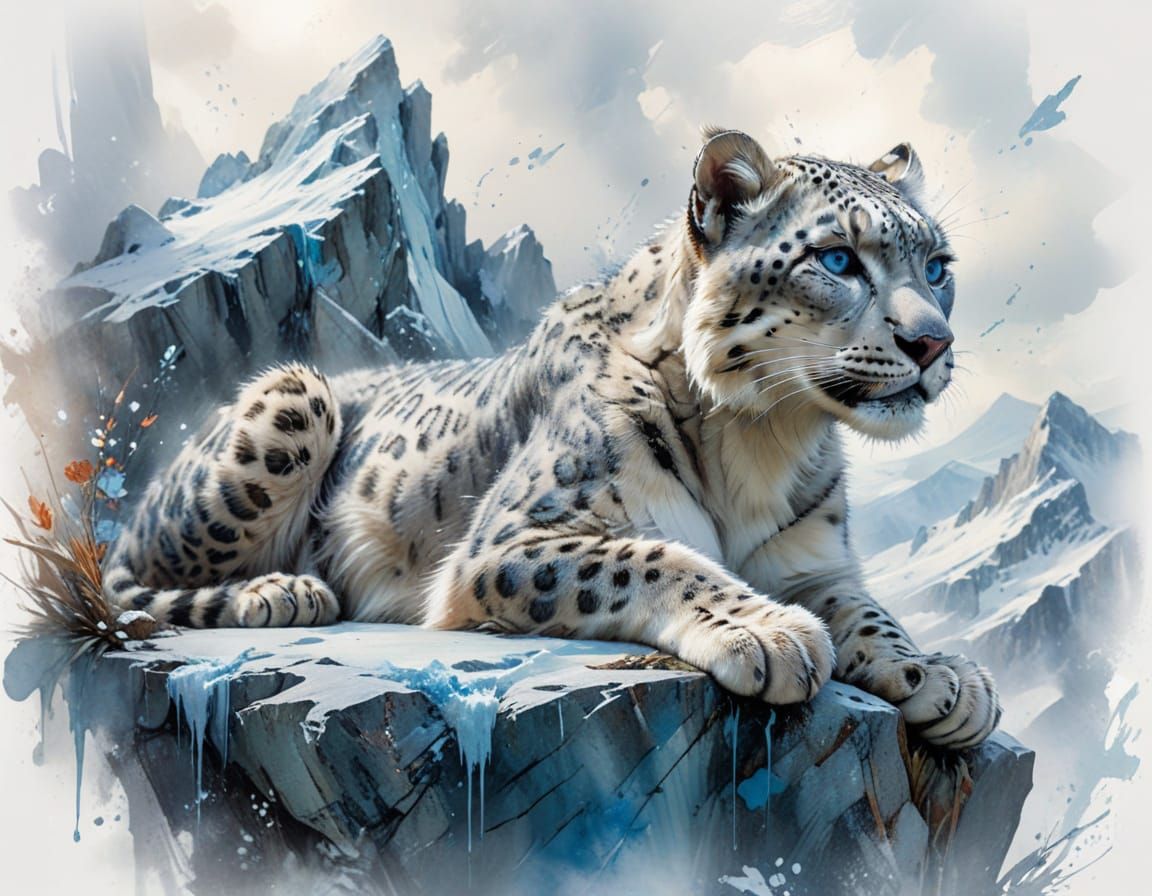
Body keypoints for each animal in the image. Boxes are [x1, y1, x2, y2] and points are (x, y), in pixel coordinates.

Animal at [103, 128, 1000, 750]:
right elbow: (654, 557)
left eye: (938, 267)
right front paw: (767, 632)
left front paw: (941, 675)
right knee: (130, 587)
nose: (934, 343)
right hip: (293, 399)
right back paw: (278, 590)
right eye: (838, 259)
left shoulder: (812, 564)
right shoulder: (510, 543)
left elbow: (870, 611)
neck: (766, 438)